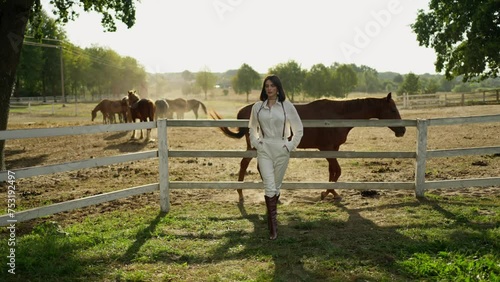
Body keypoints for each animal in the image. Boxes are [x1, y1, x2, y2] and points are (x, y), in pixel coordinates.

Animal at [210, 93, 406, 203]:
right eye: (393, 110)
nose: (402, 130)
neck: (338, 116)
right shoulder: (328, 149)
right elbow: (337, 171)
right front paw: (327, 193)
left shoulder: (333, 149)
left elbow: (333, 171)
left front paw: (330, 193)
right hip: (254, 146)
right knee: (244, 164)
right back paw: (241, 194)